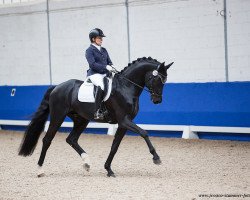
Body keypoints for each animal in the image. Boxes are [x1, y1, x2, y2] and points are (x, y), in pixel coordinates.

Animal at [18, 56, 174, 177]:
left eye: (165, 81)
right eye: (157, 79)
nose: (157, 100)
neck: (126, 87)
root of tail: (56, 87)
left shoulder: (123, 124)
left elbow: (115, 146)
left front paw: (108, 169)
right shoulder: (124, 120)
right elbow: (144, 133)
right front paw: (156, 157)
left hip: (81, 119)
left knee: (71, 139)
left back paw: (87, 163)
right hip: (58, 116)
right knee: (47, 140)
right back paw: (40, 170)